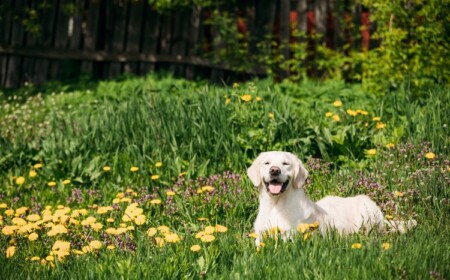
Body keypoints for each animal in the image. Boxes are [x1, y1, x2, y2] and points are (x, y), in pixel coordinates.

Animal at [248, 151, 392, 245]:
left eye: (285, 163)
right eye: (266, 163)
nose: (274, 170)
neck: (276, 205)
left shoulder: (291, 236)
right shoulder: (260, 236)